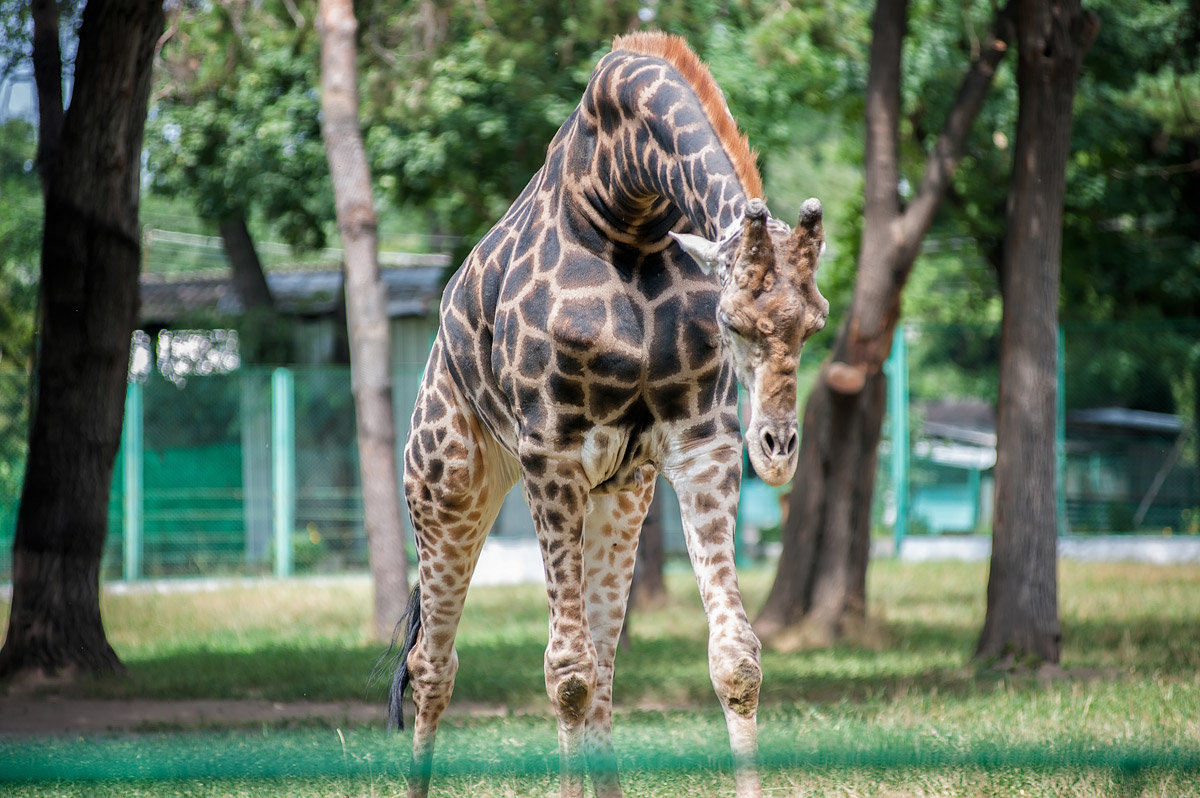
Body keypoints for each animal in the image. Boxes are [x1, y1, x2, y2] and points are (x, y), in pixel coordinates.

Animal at [388, 31, 830, 796]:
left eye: (816, 324)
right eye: (733, 322)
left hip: (620, 492)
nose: (777, 450)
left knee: (605, 657)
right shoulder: (551, 453)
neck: (631, 211)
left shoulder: (700, 446)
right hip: (447, 487)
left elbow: (734, 657)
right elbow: (565, 673)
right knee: (433, 666)